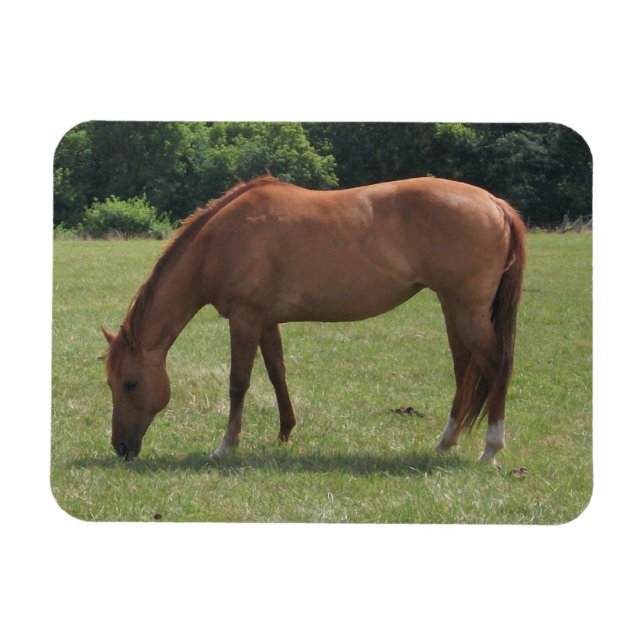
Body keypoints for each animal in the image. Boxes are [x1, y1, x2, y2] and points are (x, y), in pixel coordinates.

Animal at [102, 175, 526, 465]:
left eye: (130, 382)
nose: (121, 447)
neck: (217, 243)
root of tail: (494, 203)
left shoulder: (244, 318)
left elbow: (239, 383)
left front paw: (226, 445)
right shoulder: (265, 320)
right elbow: (277, 373)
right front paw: (285, 432)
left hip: (467, 312)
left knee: (497, 368)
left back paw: (490, 450)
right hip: (453, 310)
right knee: (465, 371)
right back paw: (445, 442)